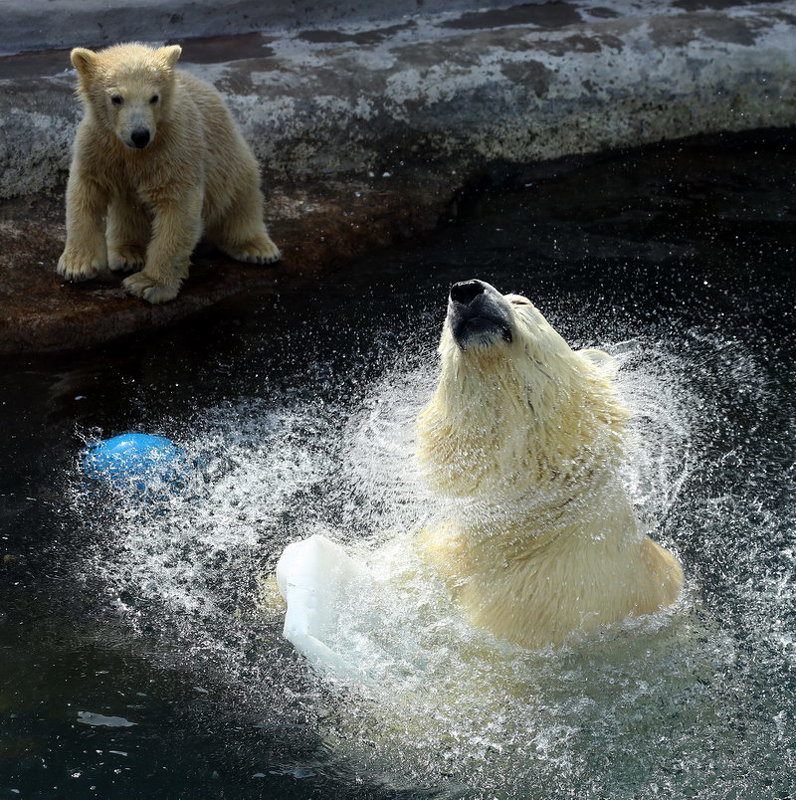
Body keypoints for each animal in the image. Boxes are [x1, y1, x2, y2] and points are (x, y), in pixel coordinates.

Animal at [276, 278, 684, 664]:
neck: (526, 528)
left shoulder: (549, 603)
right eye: (442, 328)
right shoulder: (439, 554)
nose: (465, 289)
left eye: (522, 301)